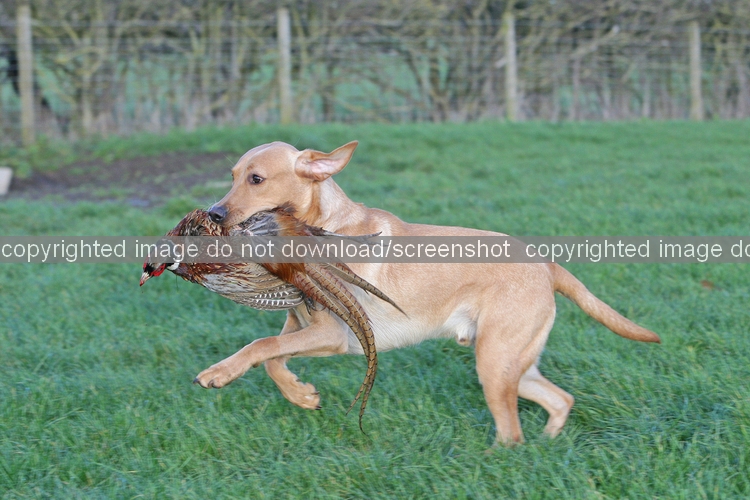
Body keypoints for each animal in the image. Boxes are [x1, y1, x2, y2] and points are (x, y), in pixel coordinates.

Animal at [194, 140, 660, 445]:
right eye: (232, 176)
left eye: (257, 179)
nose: (213, 214)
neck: (321, 226)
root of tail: (545, 263)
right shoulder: (301, 326)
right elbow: (273, 358)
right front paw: (301, 395)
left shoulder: (333, 334)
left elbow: (260, 344)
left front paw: (218, 373)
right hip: (512, 362)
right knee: (559, 399)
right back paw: (548, 441)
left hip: (495, 363)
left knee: (512, 433)